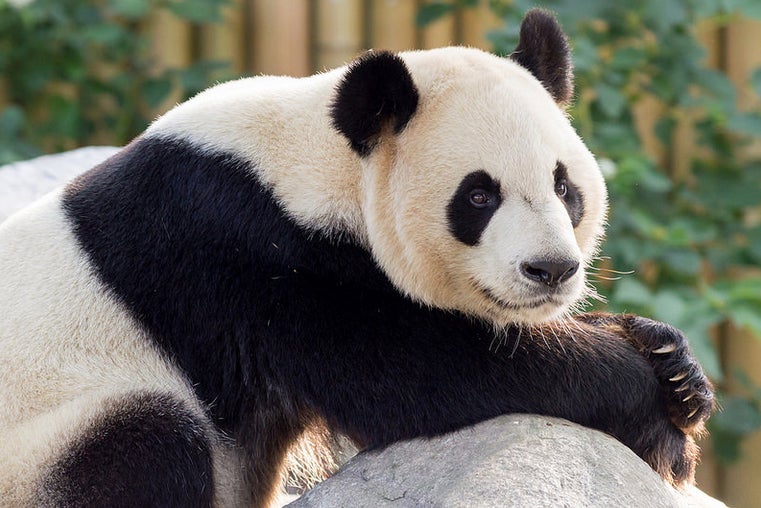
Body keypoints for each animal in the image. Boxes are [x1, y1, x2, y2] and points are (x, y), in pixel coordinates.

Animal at [0, 8, 712, 508]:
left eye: (565, 188)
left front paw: (672, 364)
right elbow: (424, 373)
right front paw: (656, 414)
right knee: (147, 443)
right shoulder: (253, 257)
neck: (323, 162)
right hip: (42, 447)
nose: (550, 271)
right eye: (479, 196)